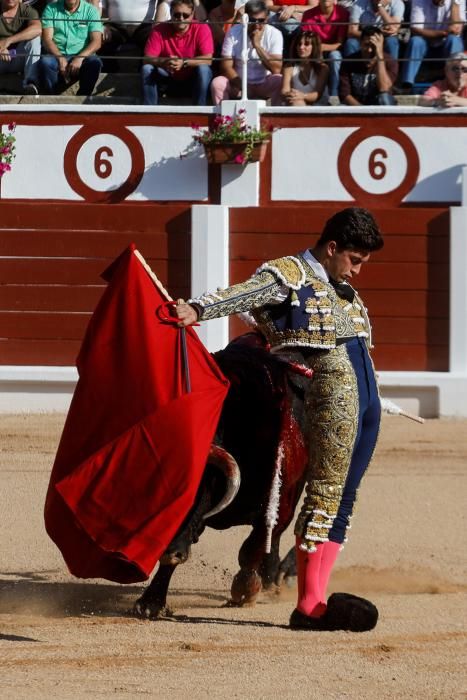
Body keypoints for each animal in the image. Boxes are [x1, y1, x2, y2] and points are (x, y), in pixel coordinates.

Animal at [133, 334, 308, 616]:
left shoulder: (279, 499)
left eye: (195, 487)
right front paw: (151, 603)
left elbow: (253, 545)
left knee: (274, 534)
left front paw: (245, 590)